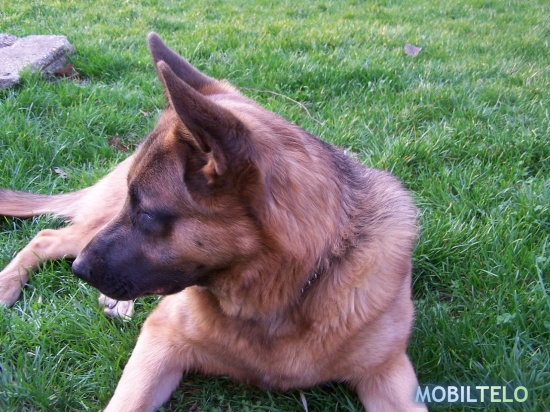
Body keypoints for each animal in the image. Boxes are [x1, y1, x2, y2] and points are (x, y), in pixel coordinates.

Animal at [0, 33, 426, 411]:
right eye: (133, 205)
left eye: (147, 214)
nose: (79, 270)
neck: (286, 292)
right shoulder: (161, 340)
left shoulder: (388, 372)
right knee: (46, 237)